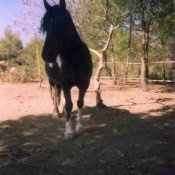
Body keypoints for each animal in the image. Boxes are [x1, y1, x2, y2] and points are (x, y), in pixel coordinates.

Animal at [41, 0, 93, 139]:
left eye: (62, 23)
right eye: (45, 26)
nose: (46, 54)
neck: (76, 59)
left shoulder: (84, 83)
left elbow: (79, 102)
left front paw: (80, 127)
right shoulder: (66, 84)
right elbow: (70, 104)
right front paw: (69, 132)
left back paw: (63, 113)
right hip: (52, 82)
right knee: (55, 95)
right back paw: (56, 113)